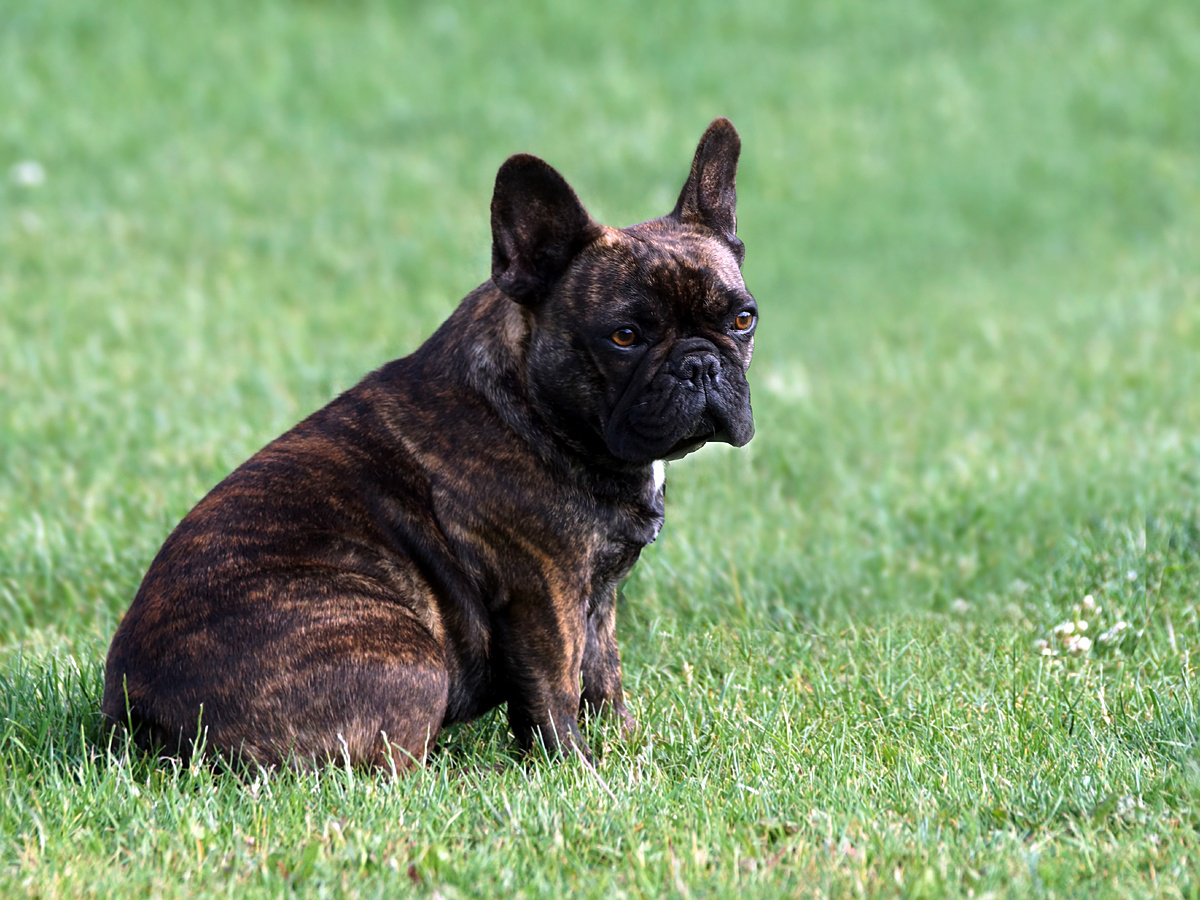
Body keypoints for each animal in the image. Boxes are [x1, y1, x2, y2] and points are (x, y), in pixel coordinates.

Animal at [103, 116, 758, 772]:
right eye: (624, 337)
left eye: (743, 320)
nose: (699, 364)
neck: (531, 404)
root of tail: (138, 717)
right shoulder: (545, 595)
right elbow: (556, 691)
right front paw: (577, 770)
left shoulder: (597, 598)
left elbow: (603, 677)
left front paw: (626, 749)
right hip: (410, 659)